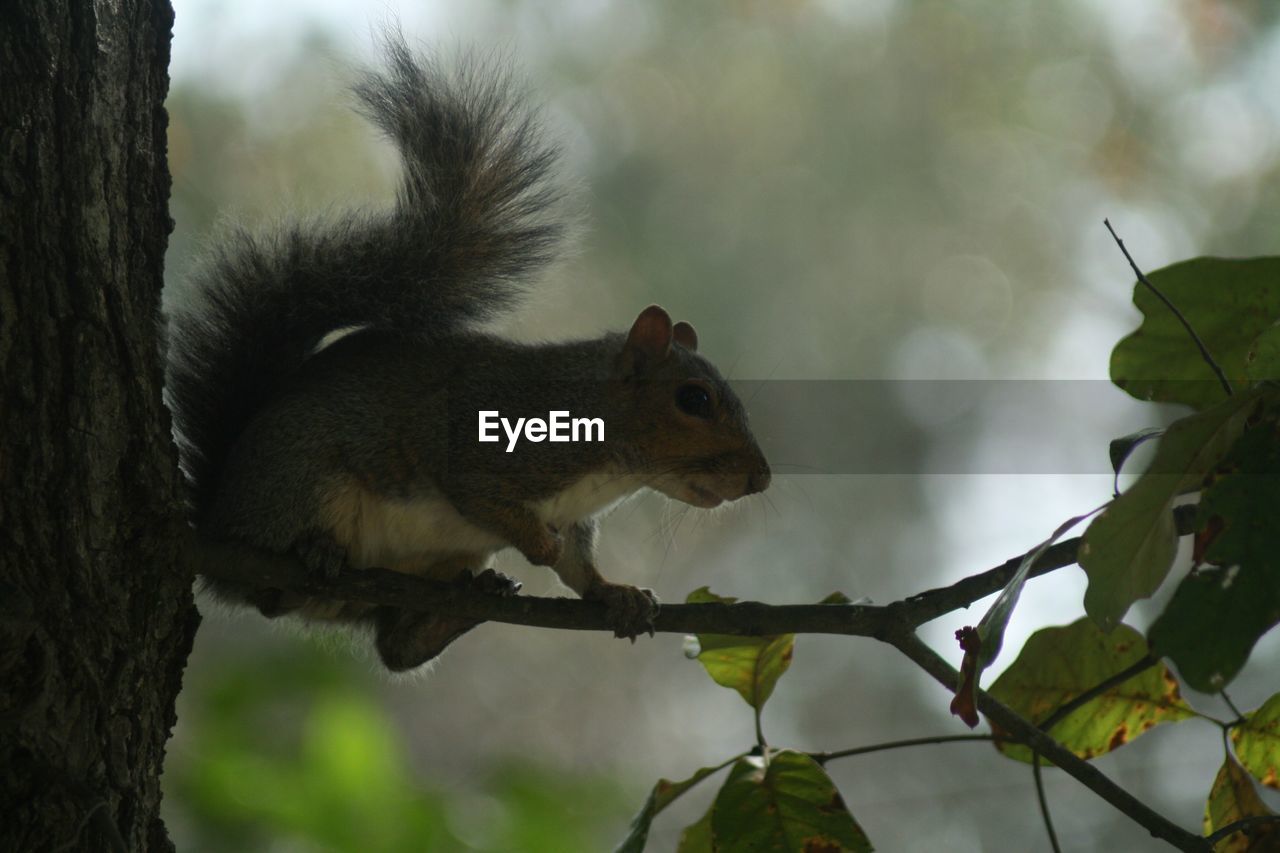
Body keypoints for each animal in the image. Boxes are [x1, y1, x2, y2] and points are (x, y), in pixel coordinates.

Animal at [166, 34, 773, 671]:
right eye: (693, 400)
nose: (760, 479)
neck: (607, 456)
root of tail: (221, 515)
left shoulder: (575, 514)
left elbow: (579, 567)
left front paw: (616, 593)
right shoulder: (478, 440)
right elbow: (481, 495)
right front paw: (536, 543)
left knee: (395, 647)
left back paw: (466, 604)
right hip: (301, 482)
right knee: (278, 585)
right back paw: (317, 552)